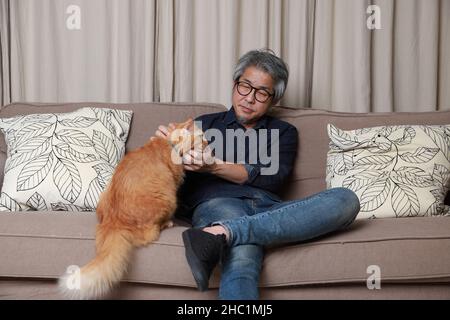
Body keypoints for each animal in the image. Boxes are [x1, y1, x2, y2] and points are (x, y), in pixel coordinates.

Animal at [59, 118, 206, 300]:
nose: (208, 142)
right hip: (169, 200)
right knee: (154, 231)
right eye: (202, 137)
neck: (168, 143)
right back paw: (169, 223)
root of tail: (114, 222)